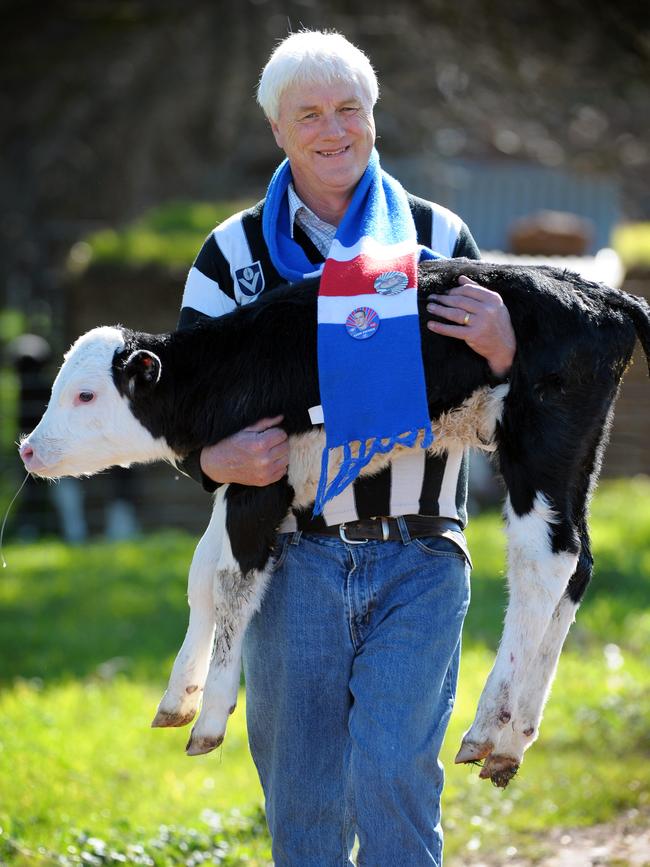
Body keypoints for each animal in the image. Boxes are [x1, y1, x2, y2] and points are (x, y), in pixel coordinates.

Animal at [20, 260, 648, 788]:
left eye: (85, 395)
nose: (28, 448)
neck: (234, 366)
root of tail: (602, 294)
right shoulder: (236, 477)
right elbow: (202, 577)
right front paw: (180, 696)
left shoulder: (262, 479)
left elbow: (230, 582)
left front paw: (212, 716)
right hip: (576, 456)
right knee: (577, 562)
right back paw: (513, 739)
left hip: (539, 441)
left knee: (543, 563)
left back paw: (487, 725)